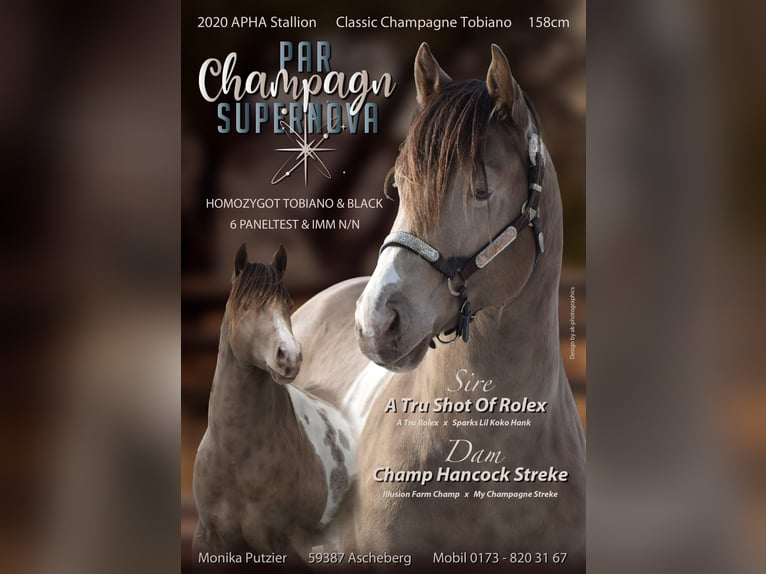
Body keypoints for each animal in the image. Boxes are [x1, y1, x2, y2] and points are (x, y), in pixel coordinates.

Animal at [192, 244, 356, 568]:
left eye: (288, 304)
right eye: (245, 305)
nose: (289, 355)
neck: (237, 459)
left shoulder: (284, 546)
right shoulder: (212, 542)